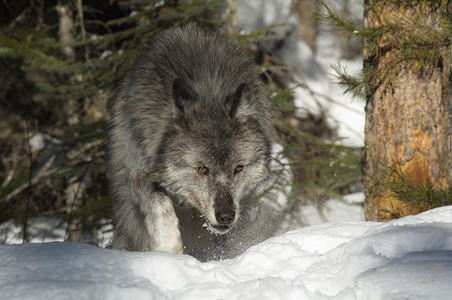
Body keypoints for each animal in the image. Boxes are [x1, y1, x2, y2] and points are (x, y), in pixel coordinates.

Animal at [107, 25, 274, 260]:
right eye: (201, 169)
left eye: (238, 168)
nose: (225, 216)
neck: (208, 91)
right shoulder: (138, 172)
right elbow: (160, 205)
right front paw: (170, 251)